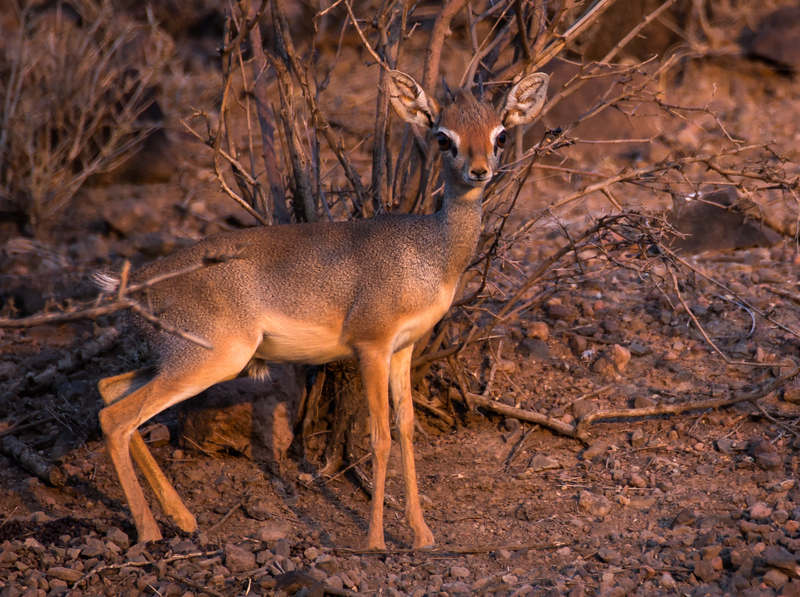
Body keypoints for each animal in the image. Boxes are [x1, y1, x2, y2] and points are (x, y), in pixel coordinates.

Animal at [92, 67, 544, 548]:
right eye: (443, 137)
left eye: (499, 134)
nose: (479, 170)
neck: (428, 252)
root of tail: (134, 285)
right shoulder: (371, 347)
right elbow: (380, 436)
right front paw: (375, 541)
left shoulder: (403, 349)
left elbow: (405, 429)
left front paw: (422, 534)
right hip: (214, 359)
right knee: (115, 418)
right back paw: (150, 532)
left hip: (185, 360)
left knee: (109, 389)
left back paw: (182, 518)